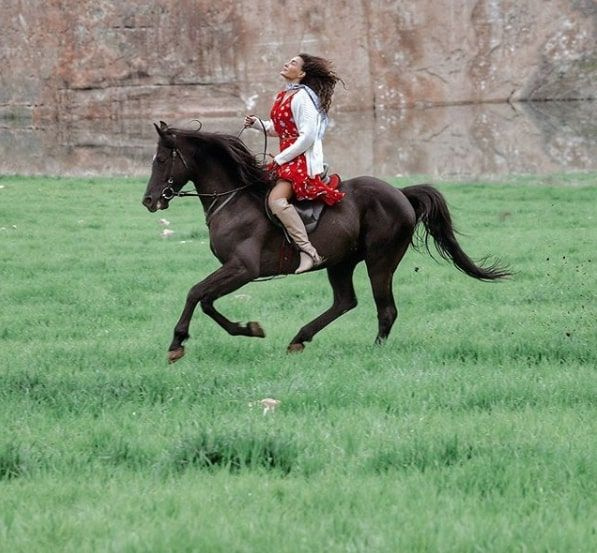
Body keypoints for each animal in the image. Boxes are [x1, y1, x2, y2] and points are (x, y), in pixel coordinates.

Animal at [141, 121, 508, 362]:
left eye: (161, 160)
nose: (149, 200)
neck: (235, 200)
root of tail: (400, 194)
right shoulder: (236, 270)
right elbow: (205, 299)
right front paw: (247, 329)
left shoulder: (243, 269)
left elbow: (197, 294)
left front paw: (179, 343)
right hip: (341, 262)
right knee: (345, 302)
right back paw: (299, 339)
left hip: (380, 261)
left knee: (385, 309)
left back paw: (373, 351)